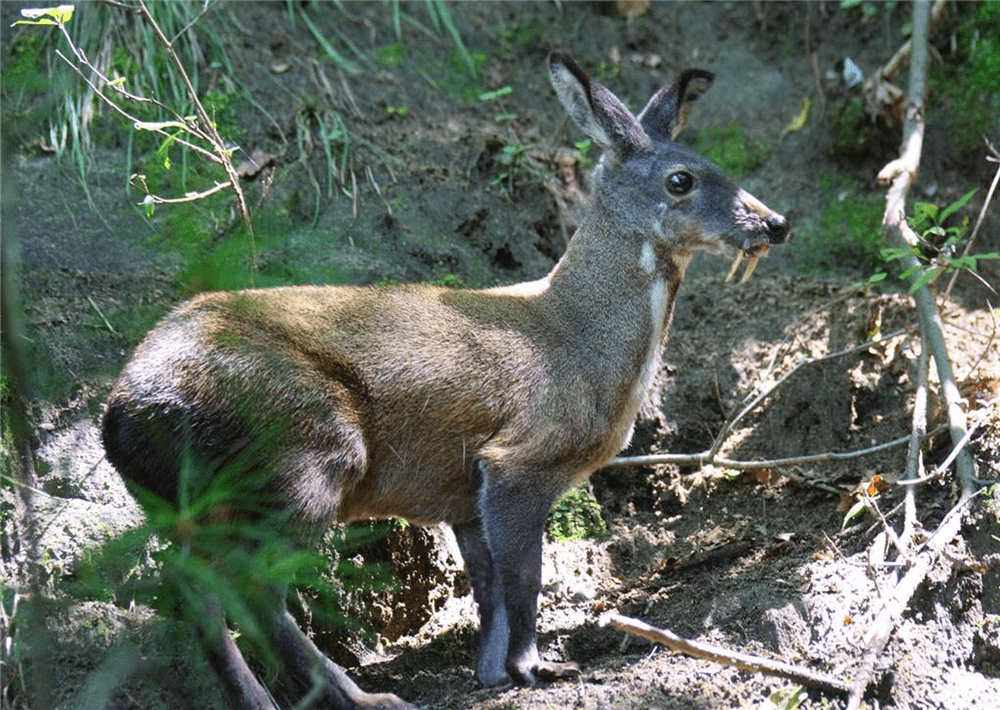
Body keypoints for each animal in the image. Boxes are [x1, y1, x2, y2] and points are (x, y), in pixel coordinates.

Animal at [101, 51, 788, 710]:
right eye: (682, 179)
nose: (775, 223)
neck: (580, 346)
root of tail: (123, 411)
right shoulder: (520, 457)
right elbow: (525, 577)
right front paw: (536, 667)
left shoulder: (462, 491)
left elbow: (489, 587)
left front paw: (492, 672)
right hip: (301, 449)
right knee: (253, 585)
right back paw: (366, 697)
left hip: (188, 501)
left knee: (194, 588)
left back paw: (260, 698)